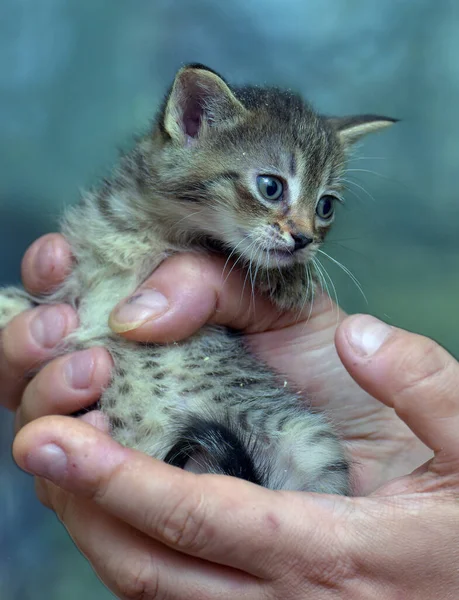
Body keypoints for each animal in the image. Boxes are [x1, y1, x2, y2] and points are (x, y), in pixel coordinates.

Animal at [0, 64, 396, 492]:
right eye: (271, 187)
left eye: (325, 207)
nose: (304, 240)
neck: (149, 232)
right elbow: (42, 307)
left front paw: (291, 277)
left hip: (311, 441)